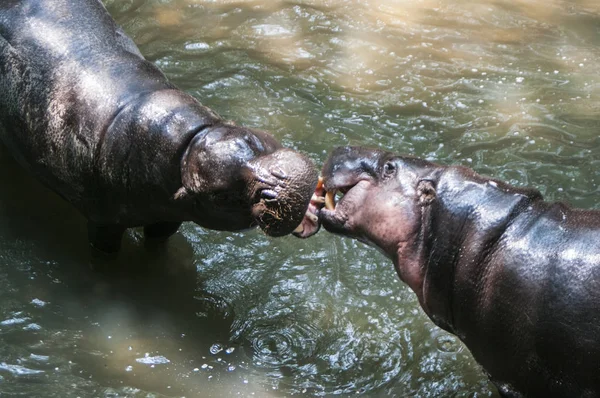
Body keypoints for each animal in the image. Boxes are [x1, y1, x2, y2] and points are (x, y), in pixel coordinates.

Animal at [0, 0, 322, 253]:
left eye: (249, 140)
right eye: (221, 196)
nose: (281, 185)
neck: (188, 146)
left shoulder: (169, 215)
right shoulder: (103, 223)